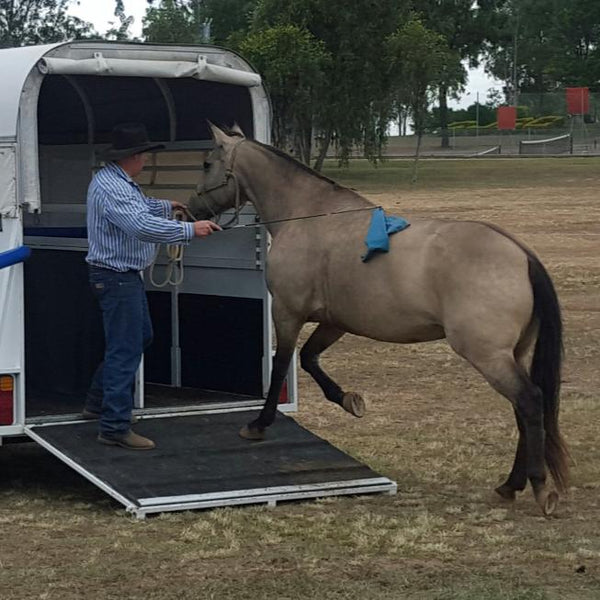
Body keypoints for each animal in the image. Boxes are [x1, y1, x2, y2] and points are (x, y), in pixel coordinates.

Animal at [188, 123, 568, 516]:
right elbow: (310, 359)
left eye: (206, 163)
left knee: (530, 401)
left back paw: (539, 487)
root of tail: (520, 253)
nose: (192, 209)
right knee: (523, 408)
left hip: (488, 355)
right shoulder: (336, 322)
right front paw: (348, 400)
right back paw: (511, 484)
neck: (308, 214)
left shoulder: (288, 312)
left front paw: (259, 424)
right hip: (512, 354)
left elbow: (281, 366)